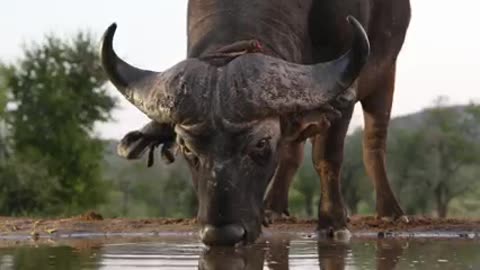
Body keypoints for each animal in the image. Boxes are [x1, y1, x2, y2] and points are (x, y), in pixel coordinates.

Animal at [101, 0, 408, 245]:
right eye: (186, 148)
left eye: (261, 143)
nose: (222, 235)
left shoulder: (346, 90)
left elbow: (327, 157)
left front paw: (333, 223)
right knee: (292, 151)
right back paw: (273, 207)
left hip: (385, 77)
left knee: (373, 144)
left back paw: (390, 211)